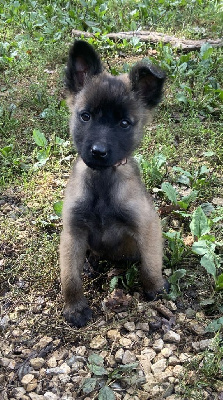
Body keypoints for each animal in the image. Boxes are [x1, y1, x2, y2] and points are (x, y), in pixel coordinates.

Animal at [60, 41, 168, 328]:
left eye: (124, 123)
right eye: (85, 116)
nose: (98, 152)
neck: (102, 182)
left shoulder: (147, 225)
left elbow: (151, 263)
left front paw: (155, 288)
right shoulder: (72, 232)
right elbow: (69, 278)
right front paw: (75, 307)